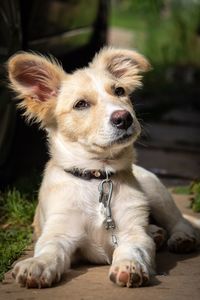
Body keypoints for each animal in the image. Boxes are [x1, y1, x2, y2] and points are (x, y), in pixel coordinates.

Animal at [7, 47, 199, 288]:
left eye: (119, 91)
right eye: (81, 104)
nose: (124, 118)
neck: (97, 176)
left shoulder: (133, 232)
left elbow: (133, 249)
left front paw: (129, 266)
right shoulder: (60, 231)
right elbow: (50, 250)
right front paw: (37, 265)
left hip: (156, 191)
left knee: (179, 220)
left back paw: (181, 237)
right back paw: (156, 232)